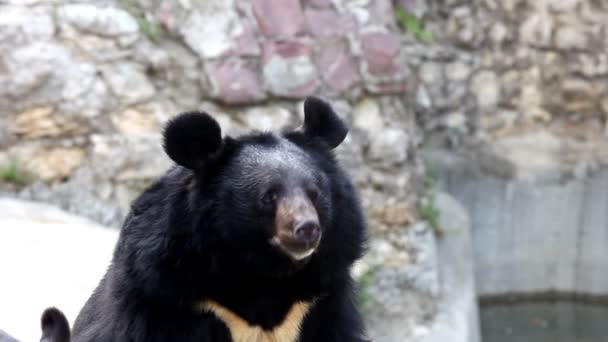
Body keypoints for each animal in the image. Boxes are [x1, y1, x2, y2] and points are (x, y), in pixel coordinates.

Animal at [69, 97, 368, 342]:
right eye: (268, 196)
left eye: (315, 193)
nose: (307, 229)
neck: (263, 273)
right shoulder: (162, 295)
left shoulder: (320, 300)